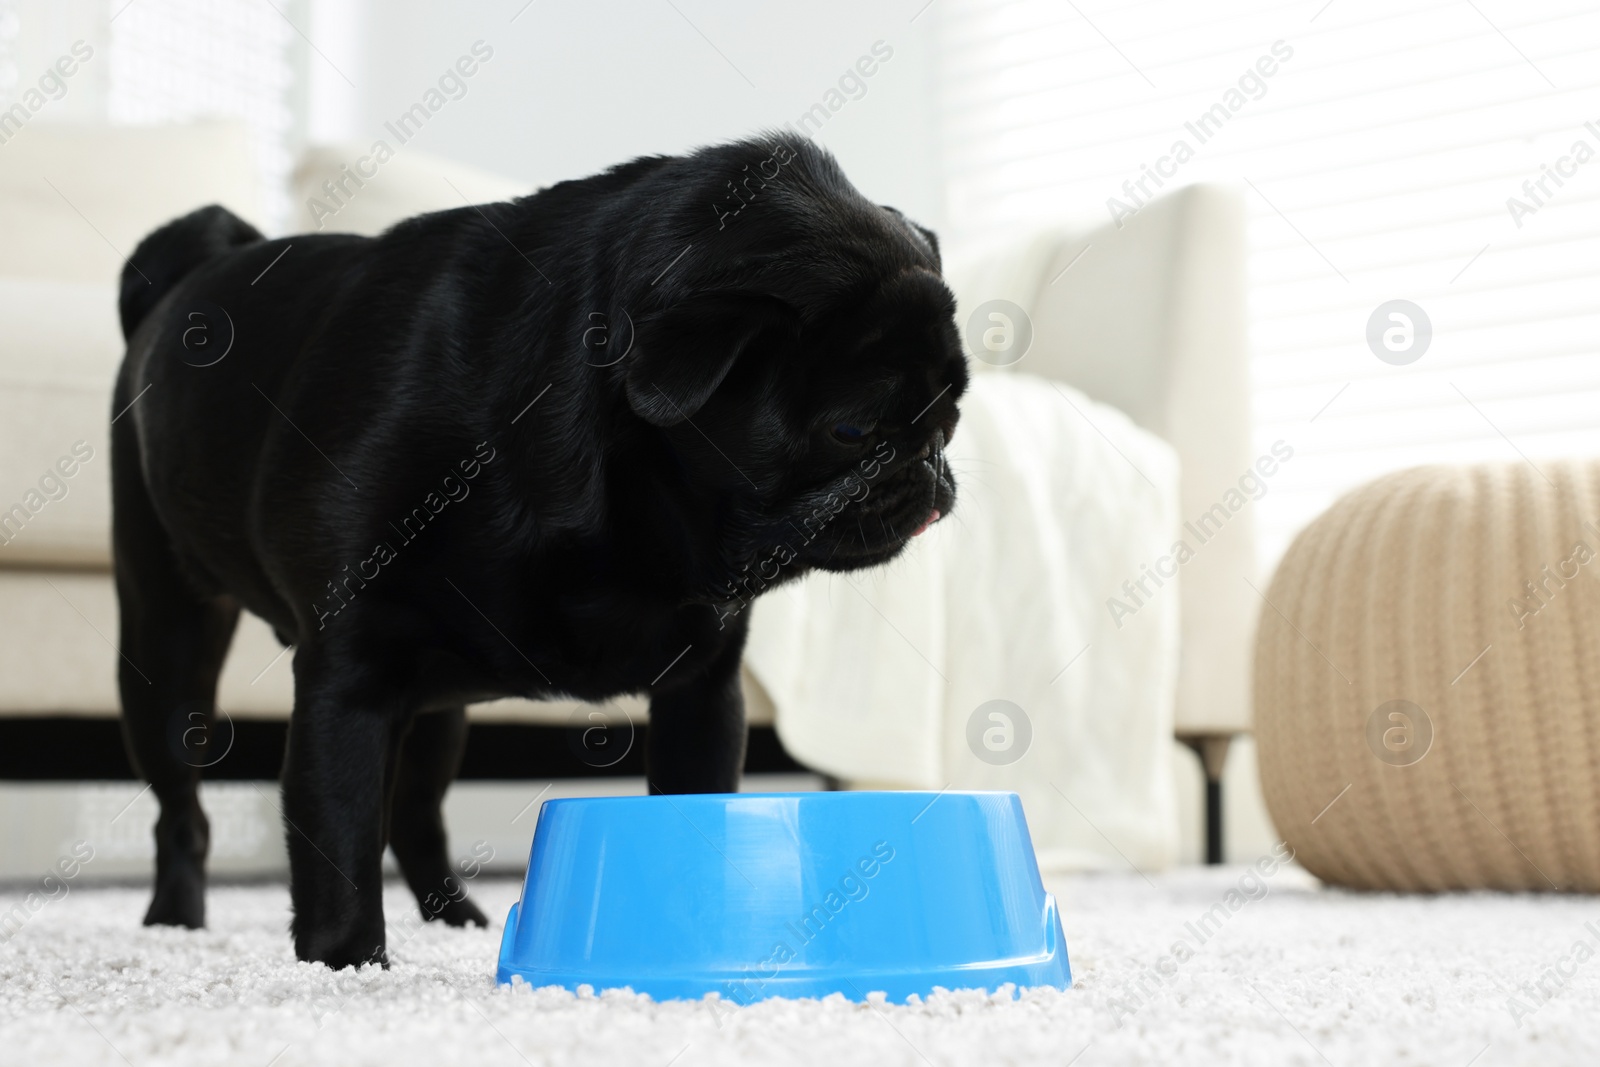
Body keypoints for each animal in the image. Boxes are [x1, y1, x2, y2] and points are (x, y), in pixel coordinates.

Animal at [116, 133, 960, 966]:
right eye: (852, 429)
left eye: (951, 414)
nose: (928, 467)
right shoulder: (346, 680)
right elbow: (338, 836)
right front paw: (346, 963)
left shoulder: (704, 693)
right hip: (168, 654)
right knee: (184, 810)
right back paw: (174, 918)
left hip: (437, 709)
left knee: (414, 813)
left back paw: (456, 918)